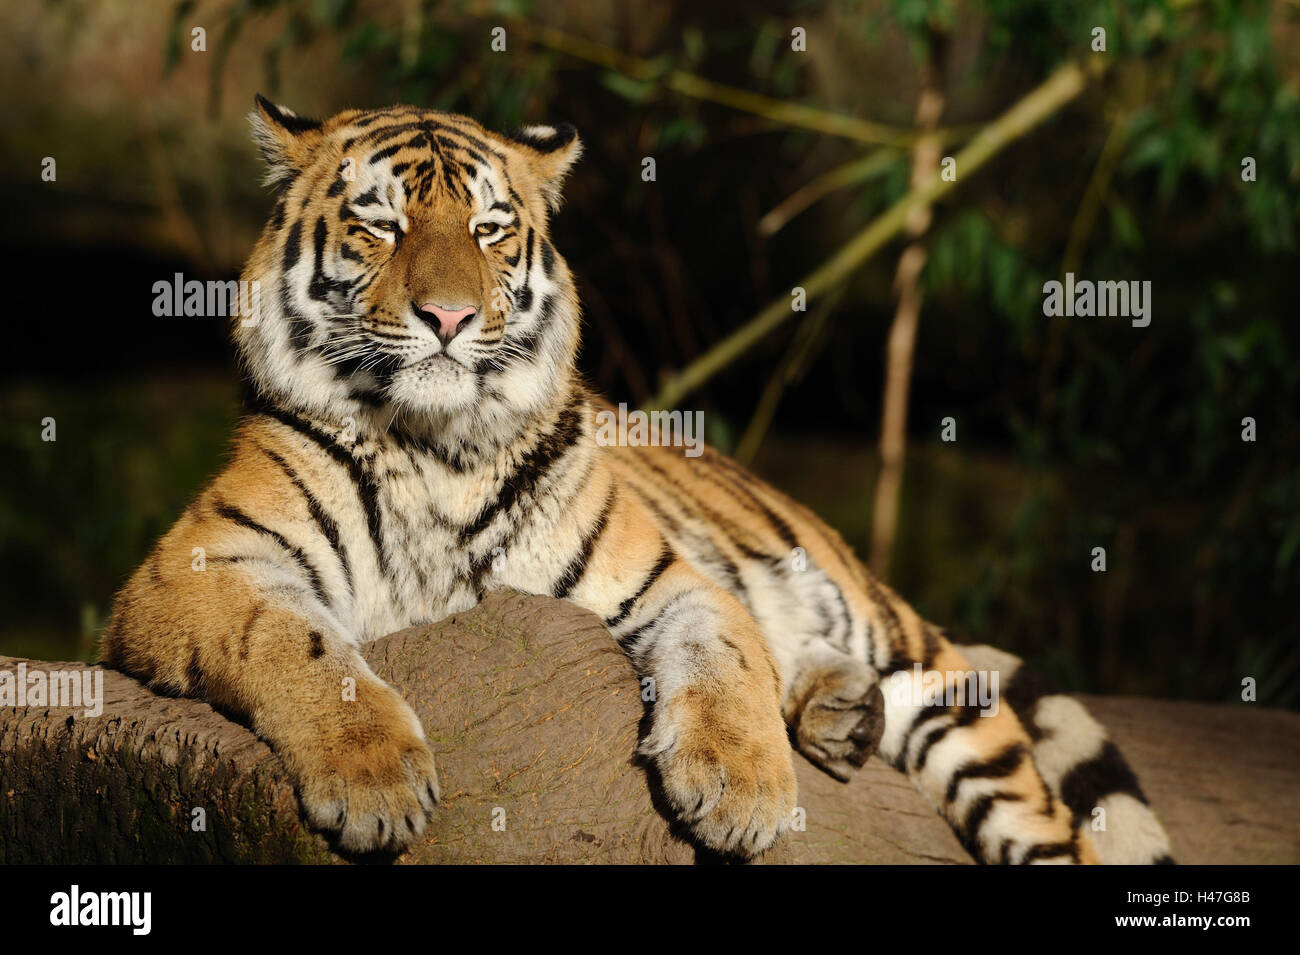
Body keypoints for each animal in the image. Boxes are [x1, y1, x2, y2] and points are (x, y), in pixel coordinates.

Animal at [102, 96, 1174, 864]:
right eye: (381, 227)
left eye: (489, 231)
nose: (448, 317)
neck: (434, 447)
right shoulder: (197, 567)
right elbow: (304, 647)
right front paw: (374, 779)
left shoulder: (670, 579)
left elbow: (725, 655)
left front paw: (740, 789)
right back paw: (839, 710)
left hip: (928, 674)